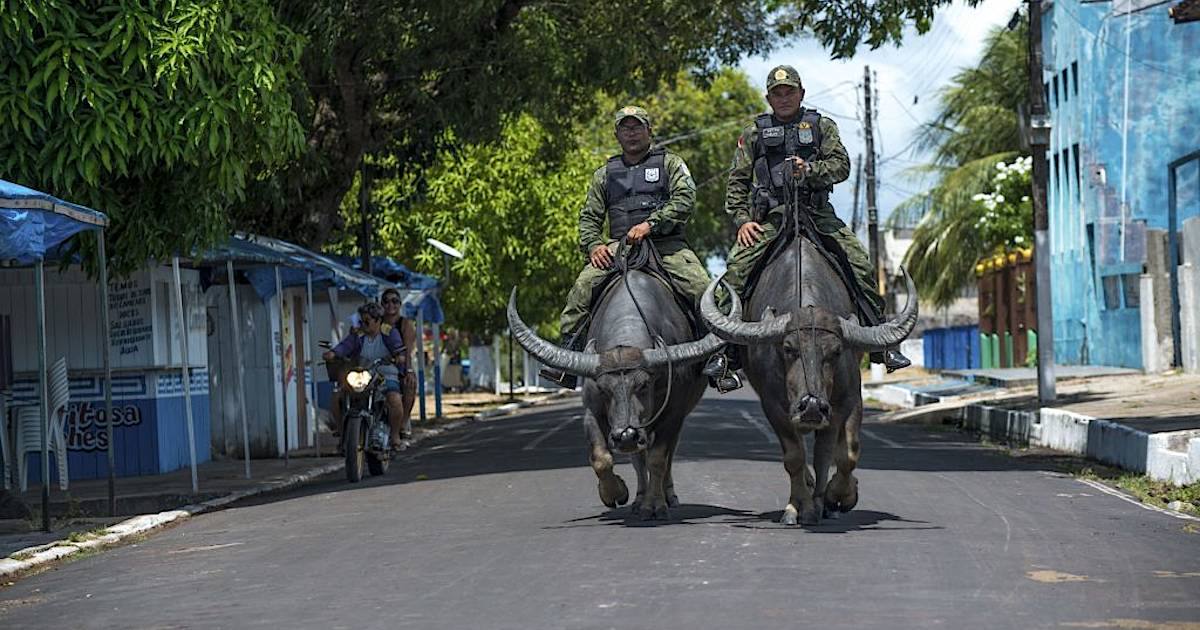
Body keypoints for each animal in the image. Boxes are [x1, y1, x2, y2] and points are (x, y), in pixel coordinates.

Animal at [506, 271, 729, 520]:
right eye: (604, 389)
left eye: (644, 385)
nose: (626, 436)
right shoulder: (593, 412)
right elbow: (601, 458)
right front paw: (616, 494)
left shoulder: (673, 414)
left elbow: (658, 459)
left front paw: (656, 505)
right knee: (638, 459)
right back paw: (639, 499)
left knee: (666, 456)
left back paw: (667, 497)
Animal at [700, 232, 912, 523]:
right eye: (788, 348)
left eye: (836, 351)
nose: (811, 406)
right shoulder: (775, 406)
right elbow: (795, 457)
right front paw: (801, 507)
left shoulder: (846, 400)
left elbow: (840, 454)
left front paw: (835, 498)